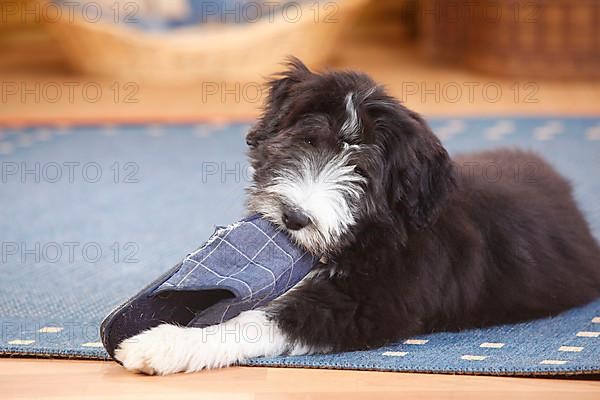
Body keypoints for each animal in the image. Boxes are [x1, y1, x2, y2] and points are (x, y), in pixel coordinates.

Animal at [115, 58, 600, 376]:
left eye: (360, 172)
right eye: (309, 141)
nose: (294, 217)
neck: (374, 234)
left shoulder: (371, 305)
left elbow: (261, 321)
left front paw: (164, 343)